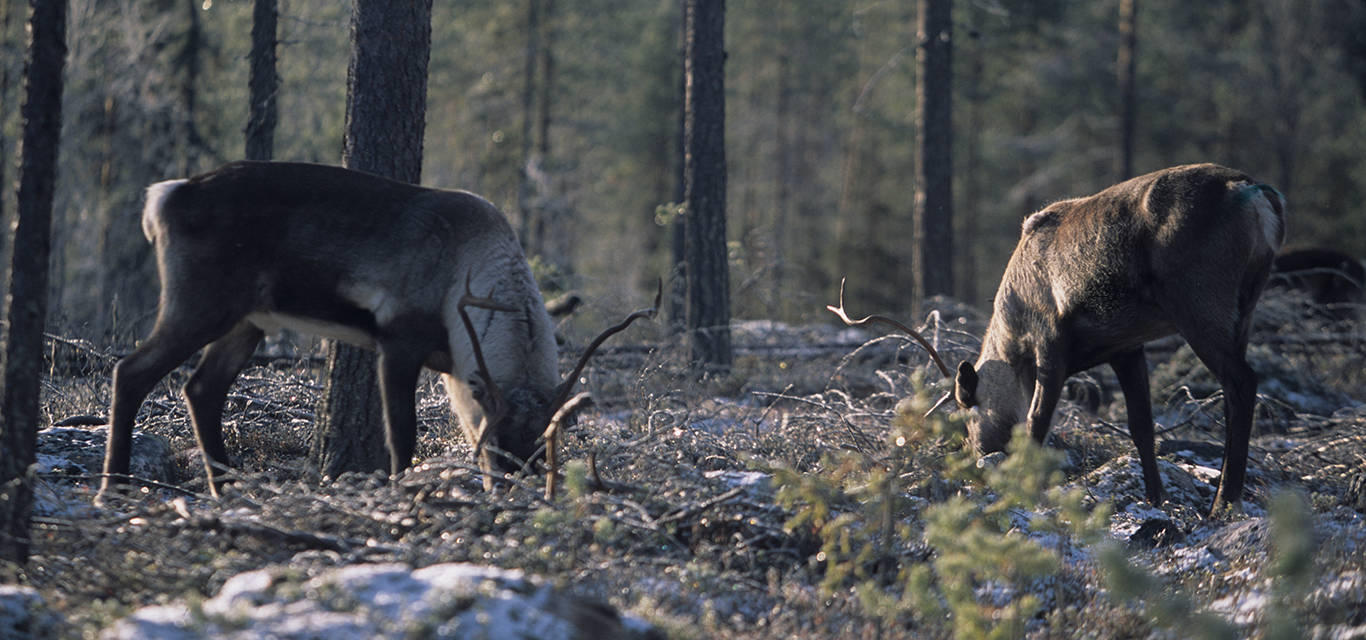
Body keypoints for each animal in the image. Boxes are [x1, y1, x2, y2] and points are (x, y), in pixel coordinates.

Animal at [98, 161, 657, 502]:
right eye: (501, 442)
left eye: (542, 443)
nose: (514, 487)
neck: (472, 263)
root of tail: (163, 196)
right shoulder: (399, 341)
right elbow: (403, 433)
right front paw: (401, 489)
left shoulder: (456, 368)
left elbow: (455, 424)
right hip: (198, 305)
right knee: (131, 370)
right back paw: (114, 486)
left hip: (247, 320)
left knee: (201, 388)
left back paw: (224, 486)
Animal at [832, 164, 1285, 517]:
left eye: (967, 415)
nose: (977, 454)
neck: (1012, 335)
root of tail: (1259, 196)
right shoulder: (1126, 345)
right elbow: (1140, 425)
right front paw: (1155, 499)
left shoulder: (1050, 340)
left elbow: (1036, 423)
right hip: (1245, 306)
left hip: (1198, 301)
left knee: (1242, 381)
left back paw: (1223, 504)